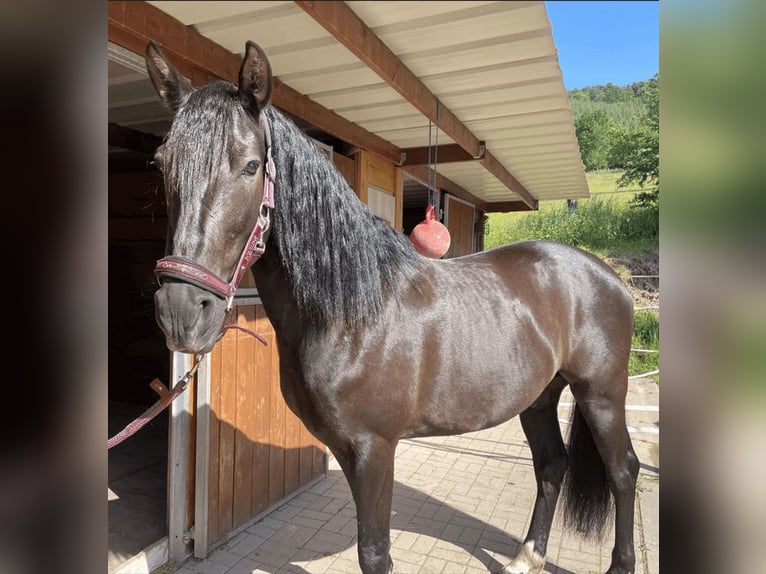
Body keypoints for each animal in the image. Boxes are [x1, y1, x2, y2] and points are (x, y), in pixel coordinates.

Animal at [145, 40, 640, 574]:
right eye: (161, 162)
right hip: (540, 396)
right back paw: (527, 557)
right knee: (551, 466)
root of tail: (609, 277)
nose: (181, 312)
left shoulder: (374, 449)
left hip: (601, 395)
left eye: (252, 165)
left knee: (623, 472)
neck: (351, 315)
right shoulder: (349, 450)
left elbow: (374, 553)